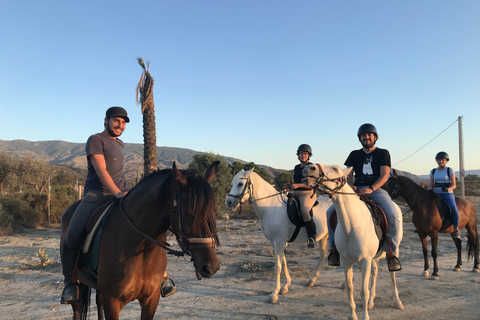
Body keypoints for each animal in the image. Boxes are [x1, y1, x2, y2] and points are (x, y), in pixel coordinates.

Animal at [60, 162, 223, 320]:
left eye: (213, 211)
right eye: (188, 213)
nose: (211, 267)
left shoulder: (151, 299)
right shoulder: (112, 301)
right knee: (77, 306)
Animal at [224, 169, 330, 304]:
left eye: (240, 184)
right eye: (232, 183)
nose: (228, 202)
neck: (270, 207)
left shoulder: (279, 241)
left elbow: (278, 266)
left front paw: (274, 294)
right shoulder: (275, 242)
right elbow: (283, 263)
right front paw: (285, 286)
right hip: (324, 236)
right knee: (322, 255)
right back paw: (312, 280)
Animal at [304, 164, 404, 318]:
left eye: (335, 169)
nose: (310, 168)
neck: (352, 225)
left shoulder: (365, 260)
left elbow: (363, 291)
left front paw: (365, 316)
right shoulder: (346, 261)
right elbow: (350, 288)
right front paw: (352, 315)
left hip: (392, 251)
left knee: (392, 274)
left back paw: (397, 302)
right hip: (372, 258)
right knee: (375, 272)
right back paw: (371, 302)